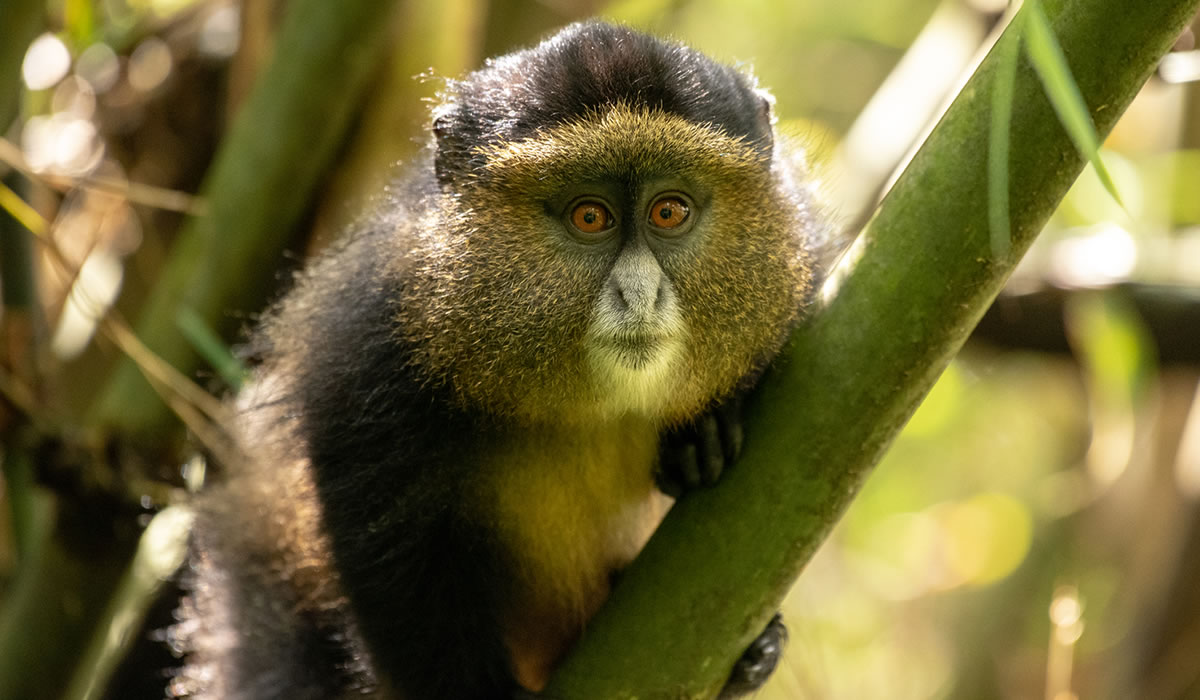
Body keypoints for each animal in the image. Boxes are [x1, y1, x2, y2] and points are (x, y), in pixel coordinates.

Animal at [172, 20, 829, 700]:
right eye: (590, 216)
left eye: (668, 211)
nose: (638, 294)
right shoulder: (371, 351)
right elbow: (394, 561)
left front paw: (704, 430)